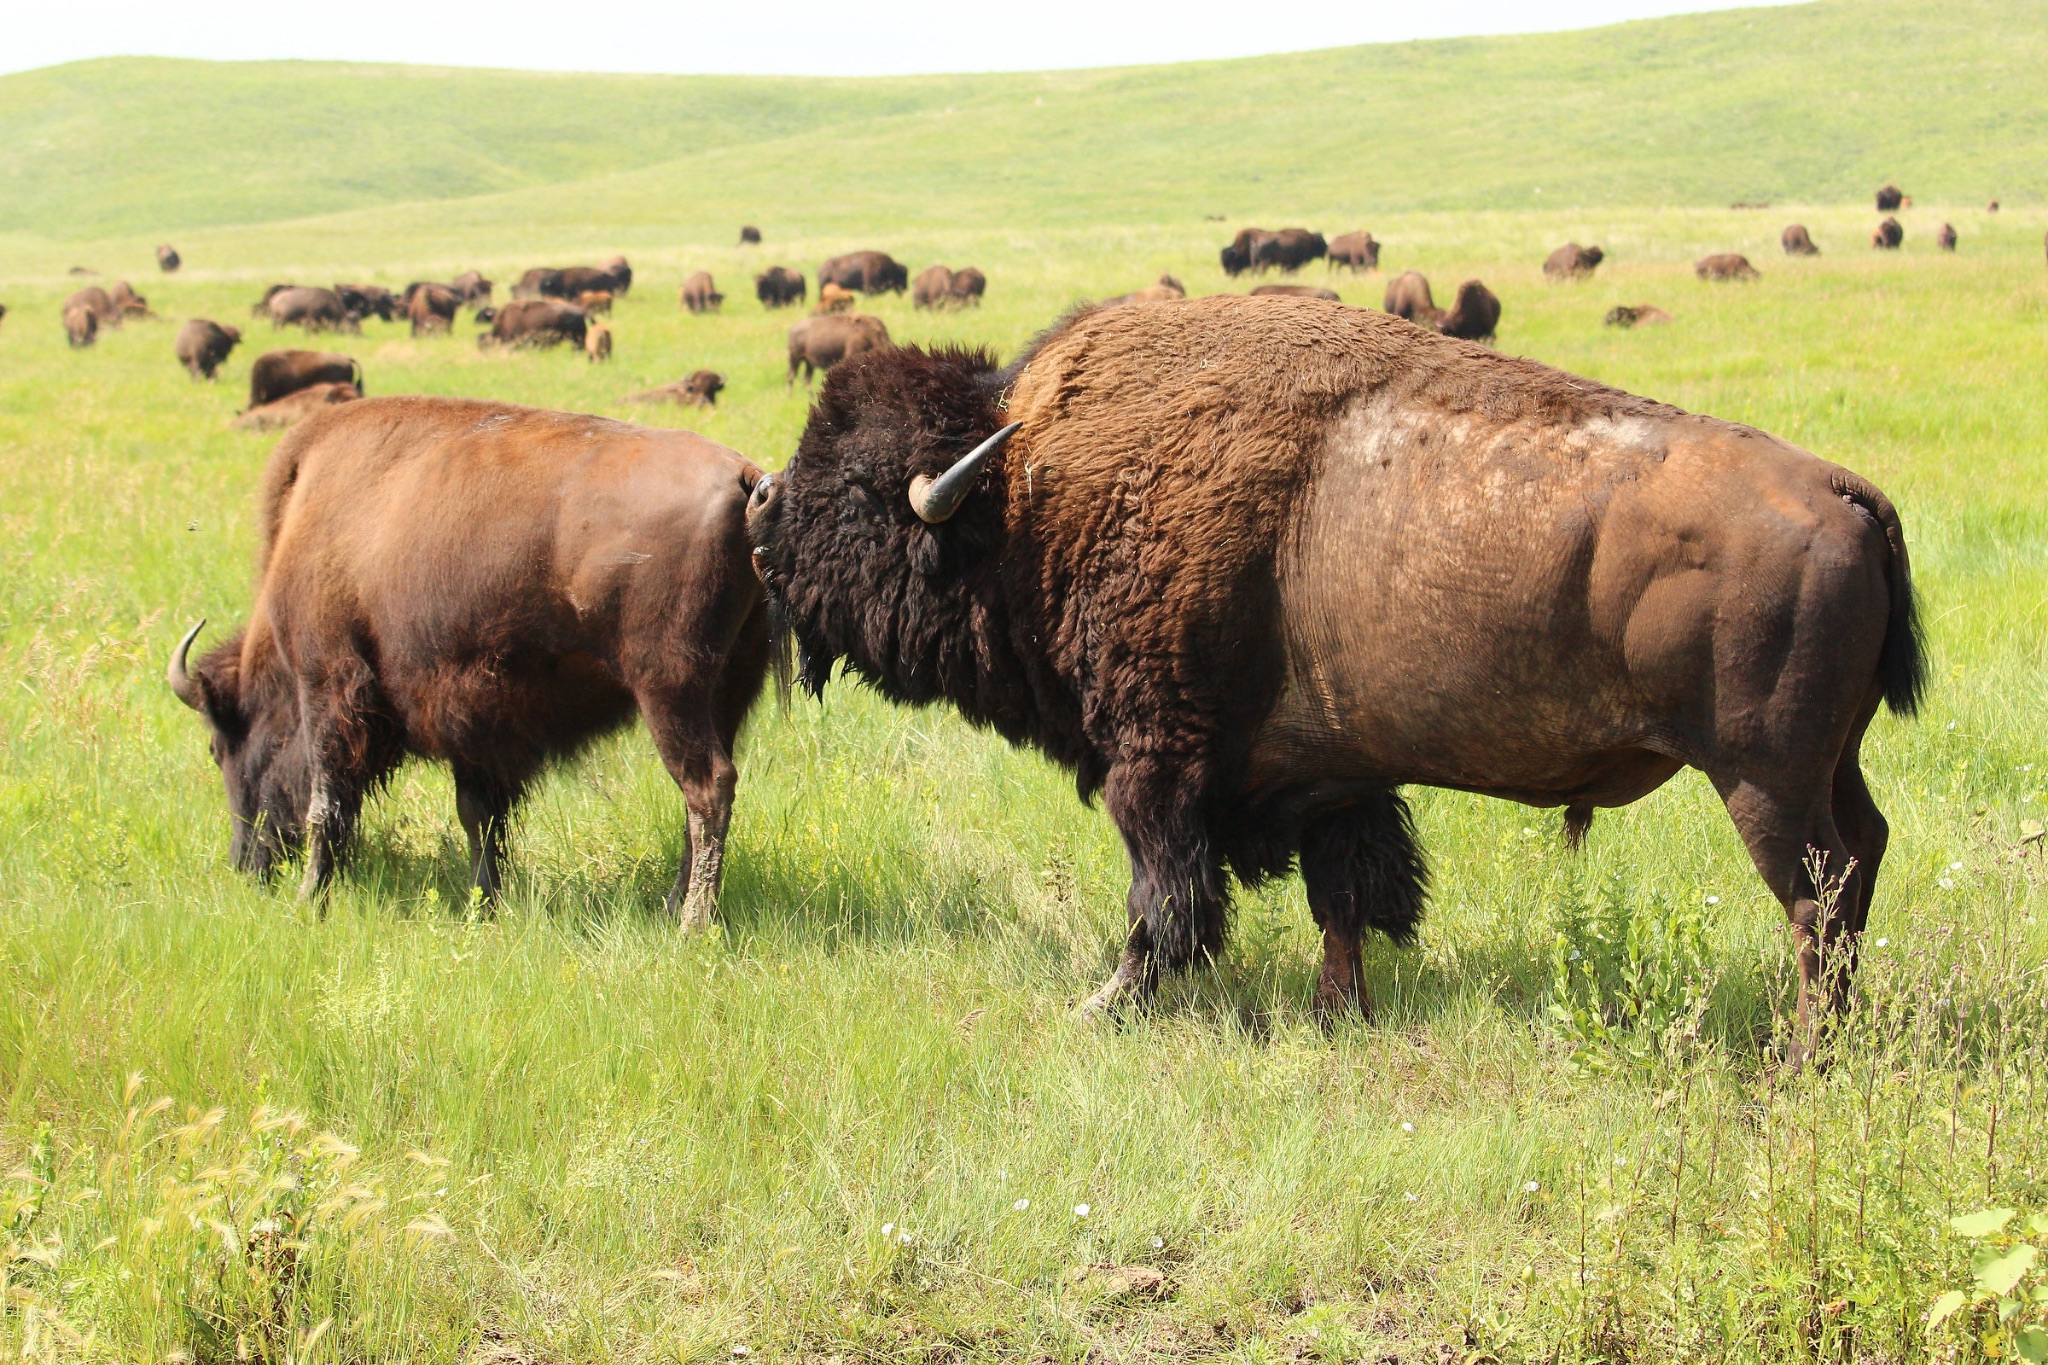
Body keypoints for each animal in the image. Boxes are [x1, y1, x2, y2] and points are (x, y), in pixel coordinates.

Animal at [167, 397, 770, 922]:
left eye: (218, 748)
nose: (245, 865)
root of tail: (746, 478)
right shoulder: (477, 723)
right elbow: (478, 816)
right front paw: (485, 904)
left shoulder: (328, 685)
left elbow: (327, 805)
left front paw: (309, 903)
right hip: (726, 691)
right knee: (703, 795)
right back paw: (671, 908)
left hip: (669, 689)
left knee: (707, 786)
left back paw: (691, 923)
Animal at [745, 294, 1923, 1053]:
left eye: (853, 488)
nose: (758, 512)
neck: (1023, 487)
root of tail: (1847, 491)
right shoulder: (1336, 779)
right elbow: (1344, 898)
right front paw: (1336, 1016)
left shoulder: (1156, 762)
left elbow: (1164, 898)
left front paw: (1106, 1005)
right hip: (1830, 764)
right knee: (1861, 860)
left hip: (1761, 779)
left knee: (1816, 897)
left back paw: (1802, 1059)